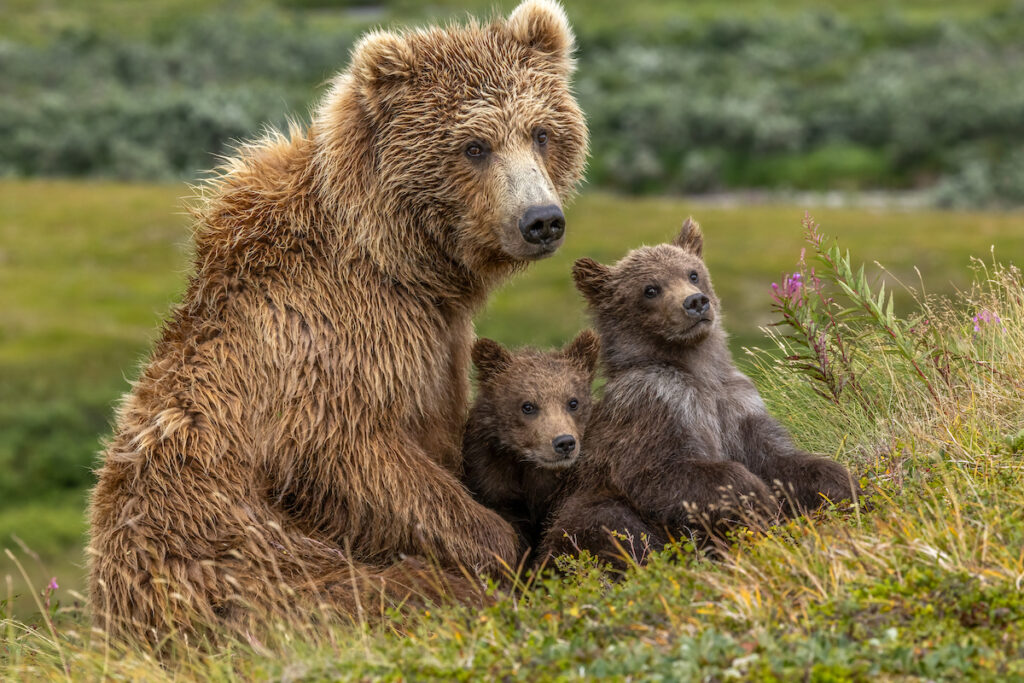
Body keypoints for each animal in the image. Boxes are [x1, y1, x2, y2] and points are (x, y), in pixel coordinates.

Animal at [544, 218, 856, 565]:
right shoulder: (654, 404)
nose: (695, 302)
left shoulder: (736, 404)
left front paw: (847, 486)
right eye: (650, 289)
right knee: (607, 522)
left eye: (692, 273)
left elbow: (780, 459)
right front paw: (759, 501)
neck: (697, 369)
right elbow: (660, 473)